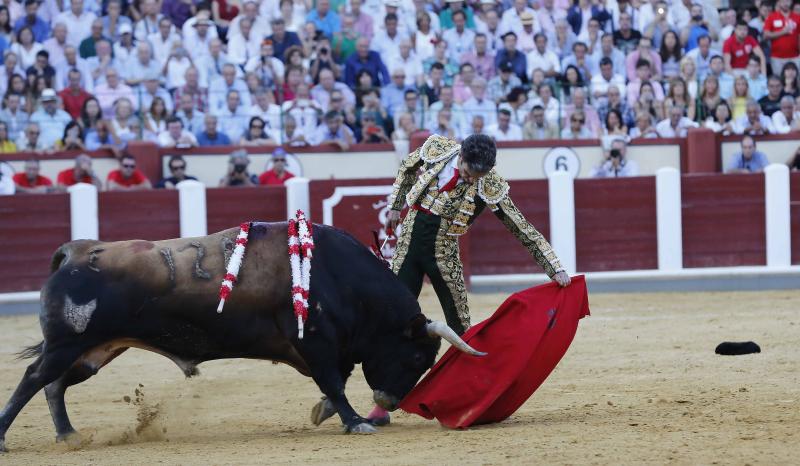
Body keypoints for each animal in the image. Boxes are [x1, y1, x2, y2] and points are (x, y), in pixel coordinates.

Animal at [0, 222, 482, 452]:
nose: (388, 403)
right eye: (417, 358)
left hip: (94, 351)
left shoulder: (330, 347)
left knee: (54, 386)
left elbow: (336, 381)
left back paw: (68, 435)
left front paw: (326, 412)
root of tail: (76, 251)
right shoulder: (315, 343)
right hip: (69, 345)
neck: (335, 274)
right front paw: (354, 421)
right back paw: (7, 436)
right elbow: (334, 382)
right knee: (32, 379)